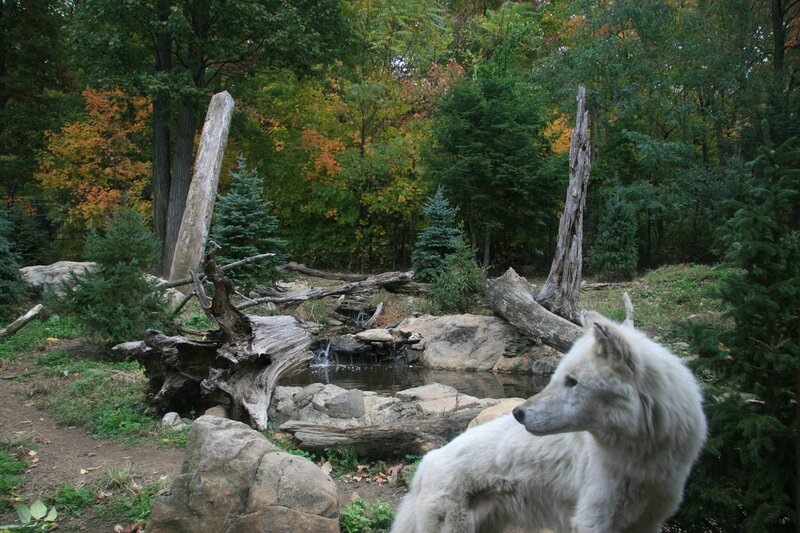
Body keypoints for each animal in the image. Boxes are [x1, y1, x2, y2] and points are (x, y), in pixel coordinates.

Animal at [391, 311, 707, 533]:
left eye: (572, 382)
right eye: (558, 377)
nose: (518, 413)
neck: (642, 455)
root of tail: (425, 466)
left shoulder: (649, 520)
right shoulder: (593, 520)